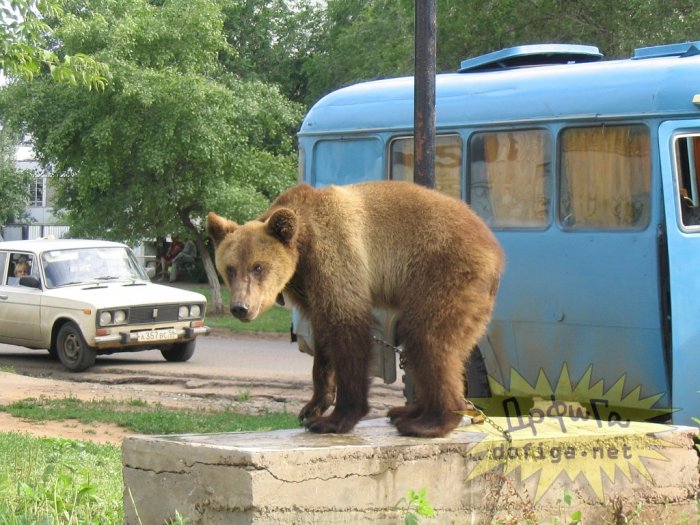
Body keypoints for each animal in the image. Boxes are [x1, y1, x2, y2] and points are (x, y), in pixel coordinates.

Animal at [208, 182, 504, 436]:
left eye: (258, 267)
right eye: (230, 268)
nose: (240, 307)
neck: (303, 248)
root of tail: (495, 251)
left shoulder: (336, 258)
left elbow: (348, 330)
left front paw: (333, 419)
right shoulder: (310, 289)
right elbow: (323, 342)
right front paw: (311, 407)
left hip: (442, 272)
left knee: (428, 338)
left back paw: (430, 422)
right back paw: (408, 412)